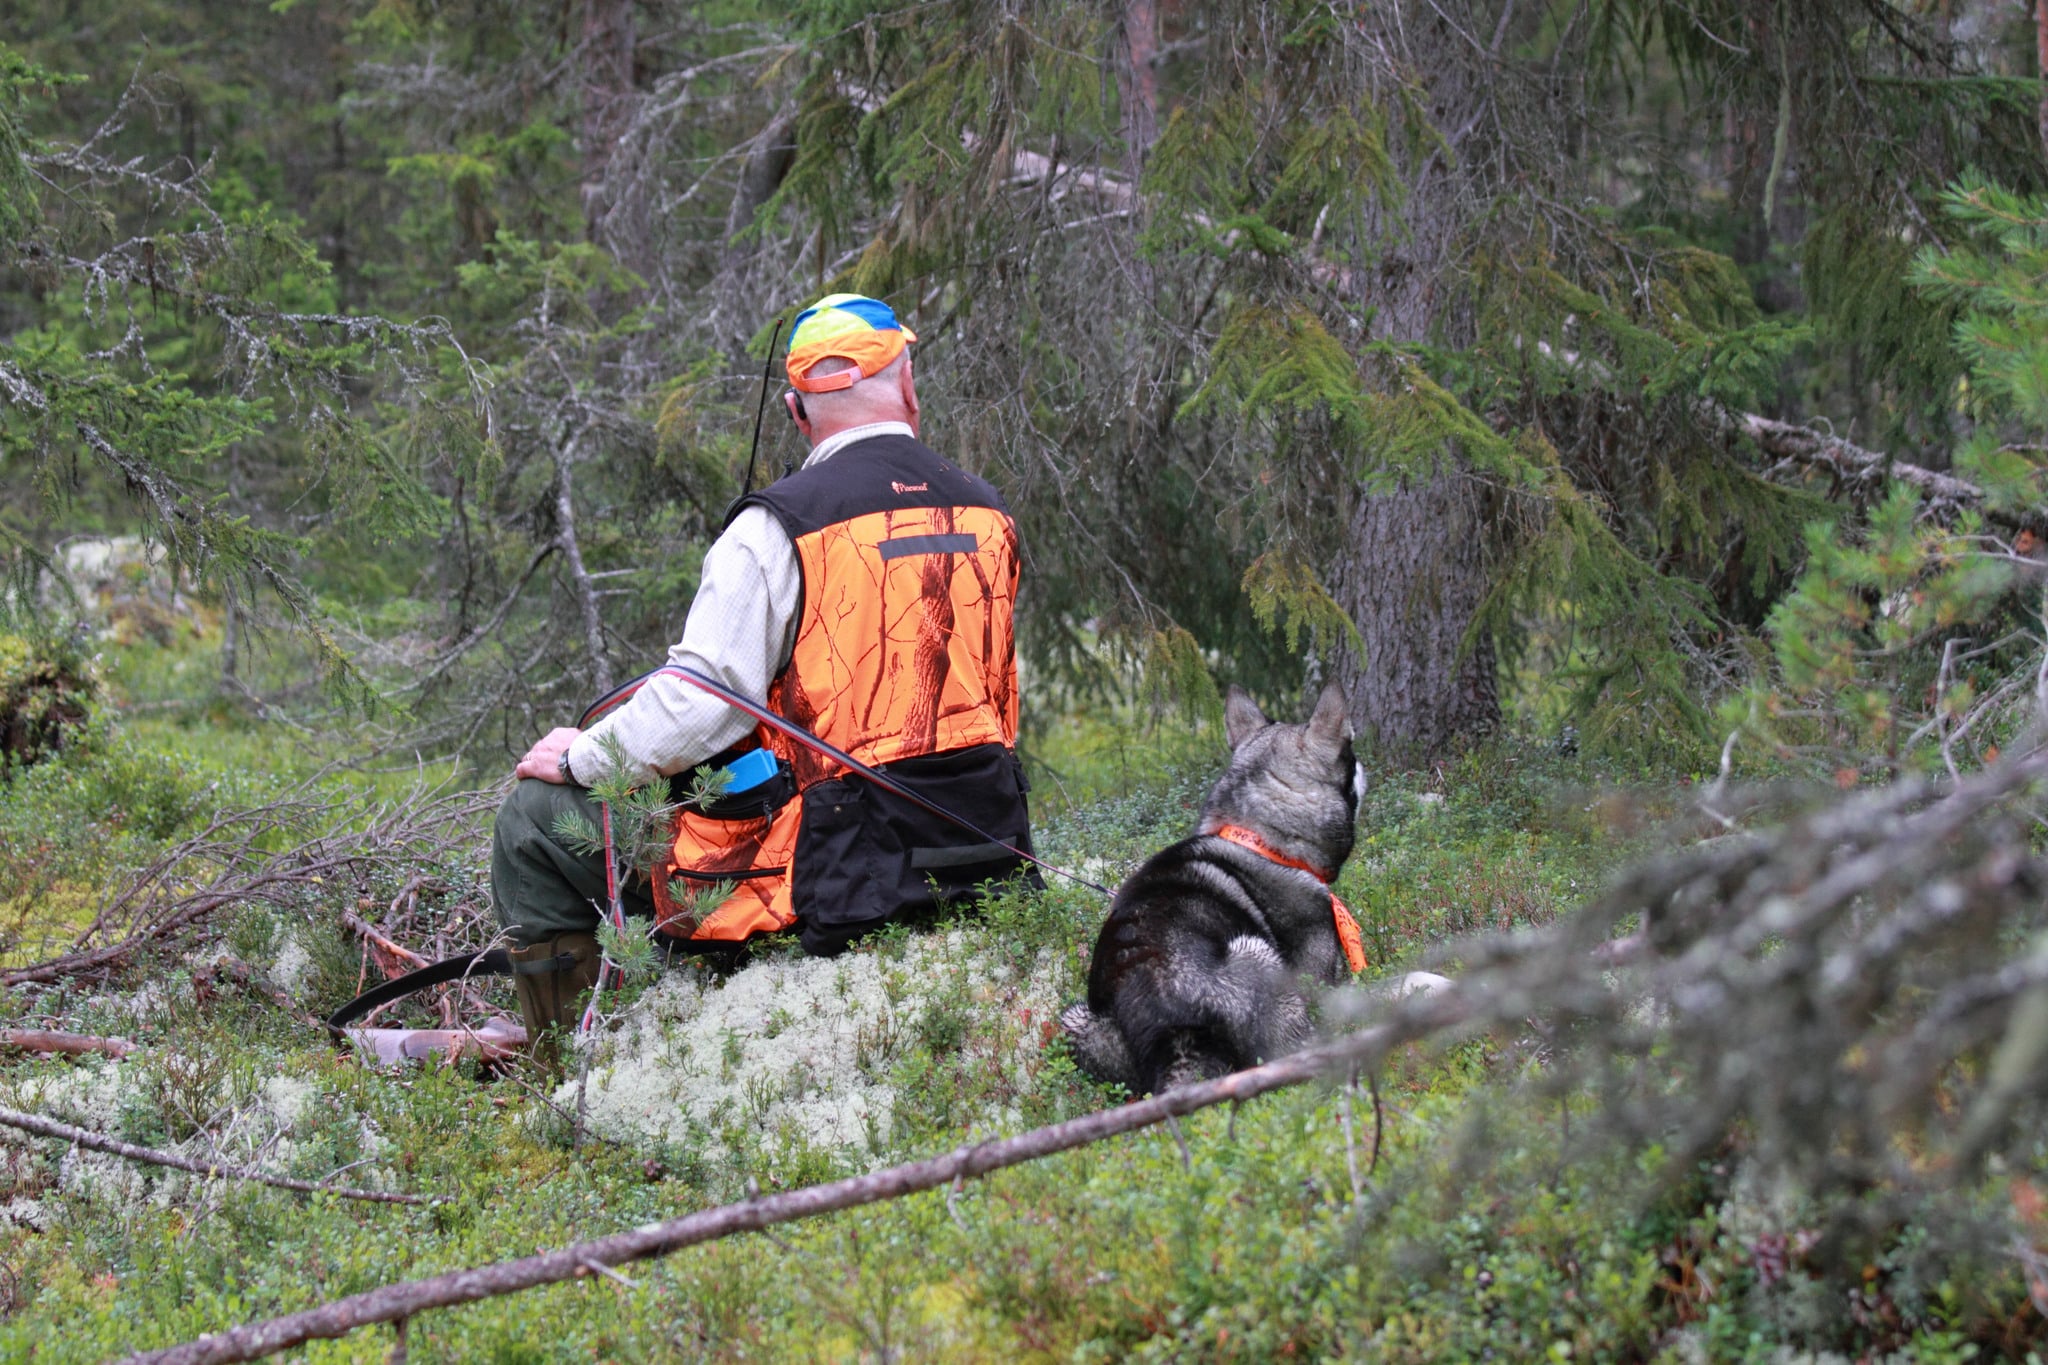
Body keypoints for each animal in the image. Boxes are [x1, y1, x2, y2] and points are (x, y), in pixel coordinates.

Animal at [1064, 683, 1368, 1096]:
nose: (1366, 767)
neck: (1260, 839)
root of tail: (1170, 1030)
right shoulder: (1316, 968)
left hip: (1077, 1021)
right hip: (1256, 954)